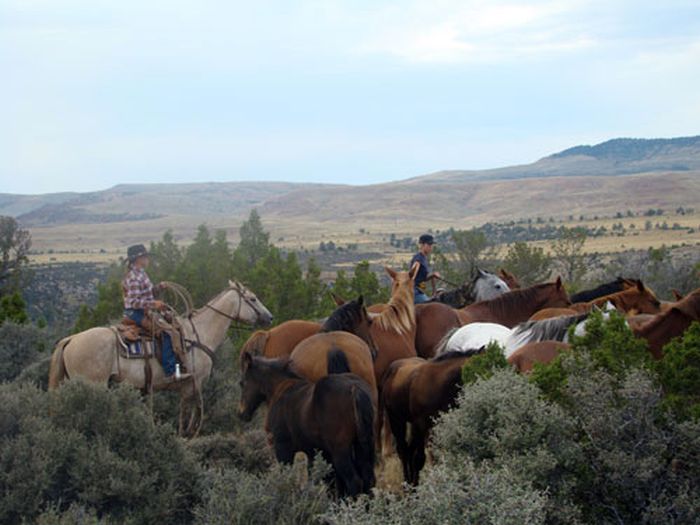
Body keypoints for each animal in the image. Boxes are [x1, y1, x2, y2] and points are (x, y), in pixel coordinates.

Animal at [47, 280, 272, 436]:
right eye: (252, 298)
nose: (269, 317)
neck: (199, 334)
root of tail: (71, 339)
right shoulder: (193, 384)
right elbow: (189, 413)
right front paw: (187, 435)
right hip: (95, 384)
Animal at [238, 348, 374, 496]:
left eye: (242, 383)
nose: (241, 414)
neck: (280, 388)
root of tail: (354, 388)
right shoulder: (313, 452)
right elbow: (318, 479)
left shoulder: (282, 448)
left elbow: (287, 477)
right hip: (361, 447)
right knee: (368, 478)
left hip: (340, 450)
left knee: (354, 481)